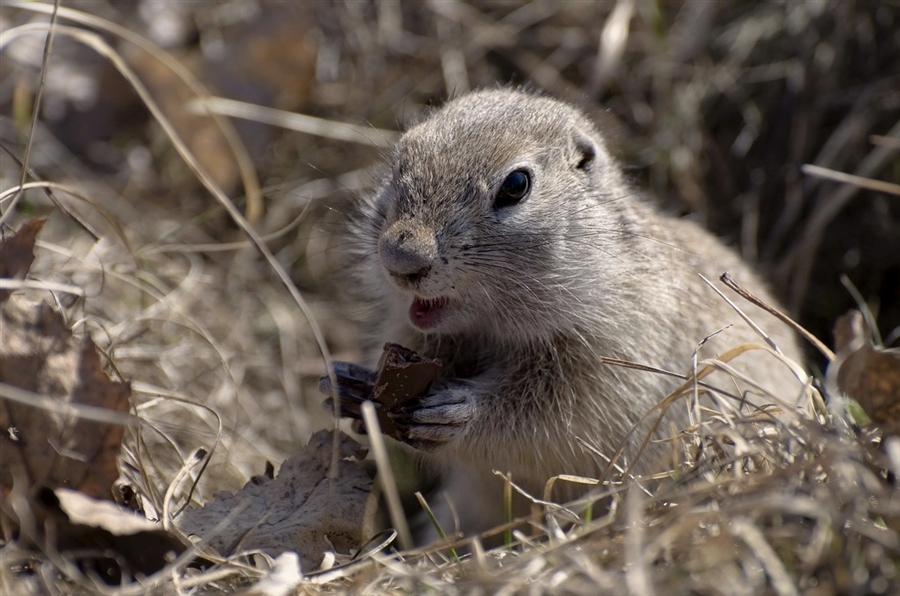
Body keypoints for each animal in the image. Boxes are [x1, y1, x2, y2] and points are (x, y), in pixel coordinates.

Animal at [326, 91, 804, 536]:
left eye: (517, 184)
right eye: (400, 159)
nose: (401, 259)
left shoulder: (610, 361)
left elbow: (548, 420)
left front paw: (457, 413)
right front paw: (345, 382)